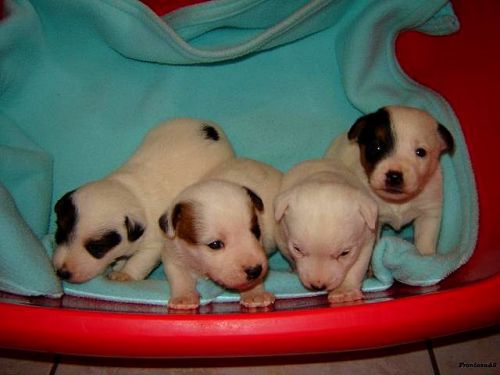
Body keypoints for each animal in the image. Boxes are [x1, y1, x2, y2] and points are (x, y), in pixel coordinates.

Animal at [51, 119, 235, 284]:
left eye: (97, 247)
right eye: (59, 233)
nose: (62, 273)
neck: (129, 191)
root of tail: (210, 126)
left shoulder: (153, 245)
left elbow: (140, 261)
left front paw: (124, 274)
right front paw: (119, 265)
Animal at [159, 157, 282, 310]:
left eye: (256, 231)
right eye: (215, 244)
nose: (255, 270)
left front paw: (255, 293)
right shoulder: (173, 255)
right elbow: (180, 277)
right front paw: (184, 297)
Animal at [276, 157, 376, 304]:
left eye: (344, 253)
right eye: (297, 249)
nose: (318, 286)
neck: (325, 177)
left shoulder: (367, 239)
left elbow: (357, 266)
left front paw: (344, 291)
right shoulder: (282, 239)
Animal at [326, 107, 456, 258]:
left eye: (421, 152)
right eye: (376, 147)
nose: (394, 176)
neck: (397, 201)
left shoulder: (429, 212)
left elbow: (425, 239)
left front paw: (425, 258)